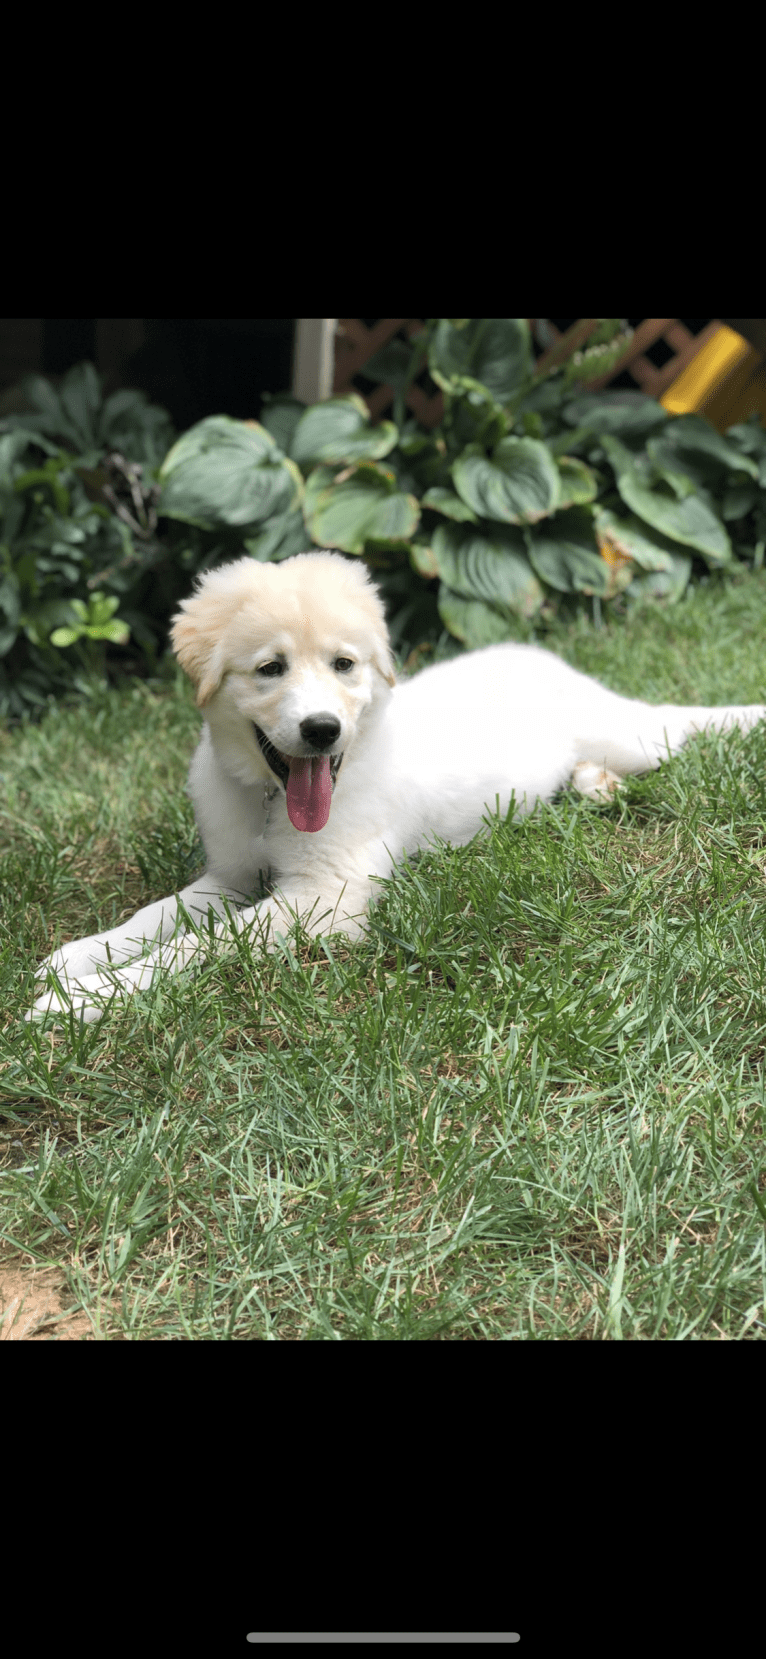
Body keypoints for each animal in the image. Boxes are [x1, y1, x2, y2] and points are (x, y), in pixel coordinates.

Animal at [28, 550, 766, 1015]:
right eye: (270, 669)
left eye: (344, 664)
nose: (322, 729)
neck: (273, 800)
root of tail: (540, 657)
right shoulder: (229, 875)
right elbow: (156, 915)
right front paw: (78, 959)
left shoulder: (326, 898)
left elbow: (198, 943)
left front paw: (86, 999)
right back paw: (593, 785)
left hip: (634, 737)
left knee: (675, 729)